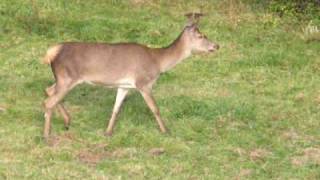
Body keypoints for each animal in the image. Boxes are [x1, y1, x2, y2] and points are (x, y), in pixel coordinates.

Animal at [42, 13, 219, 139]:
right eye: (201, 36)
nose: (216, 46)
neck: (158, 62)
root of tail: (51, 52)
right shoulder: (143, 83)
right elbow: (155, 108)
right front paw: (166, 131)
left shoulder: (124, 86)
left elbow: (116, 109)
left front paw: (108, 132)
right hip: (67, 77)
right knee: (48, 101)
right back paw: (47, 135)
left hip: (61, 78)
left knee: (48, 90)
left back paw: (67, 121)